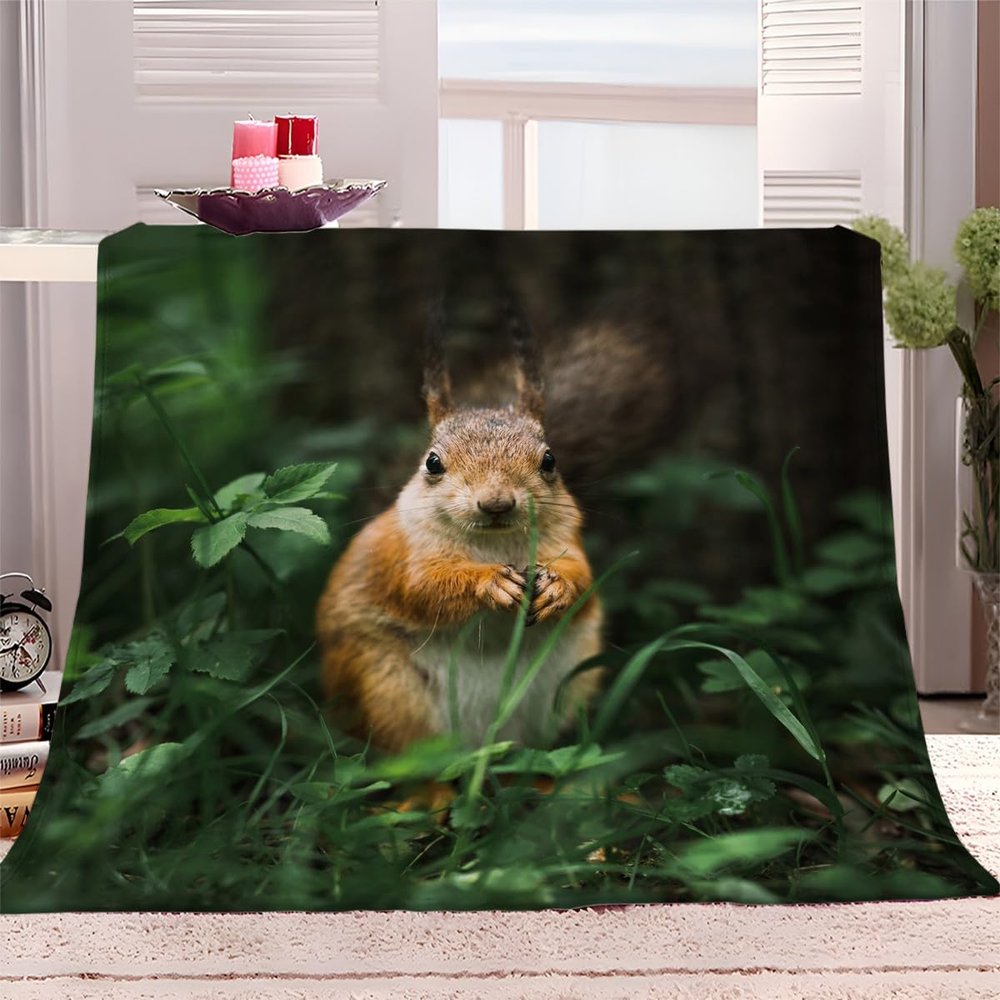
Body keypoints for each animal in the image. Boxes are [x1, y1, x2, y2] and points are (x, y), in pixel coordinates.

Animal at [316, 299, 603, 753]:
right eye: (433, 463)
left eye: (550, 460)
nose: (496, 503)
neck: (494, 543)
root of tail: (484, 739)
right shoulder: (405, 554)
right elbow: (423, 588)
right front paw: (489, 583)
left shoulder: (566, 538)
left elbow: (583, 574)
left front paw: (557, 587)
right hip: (382, 685)